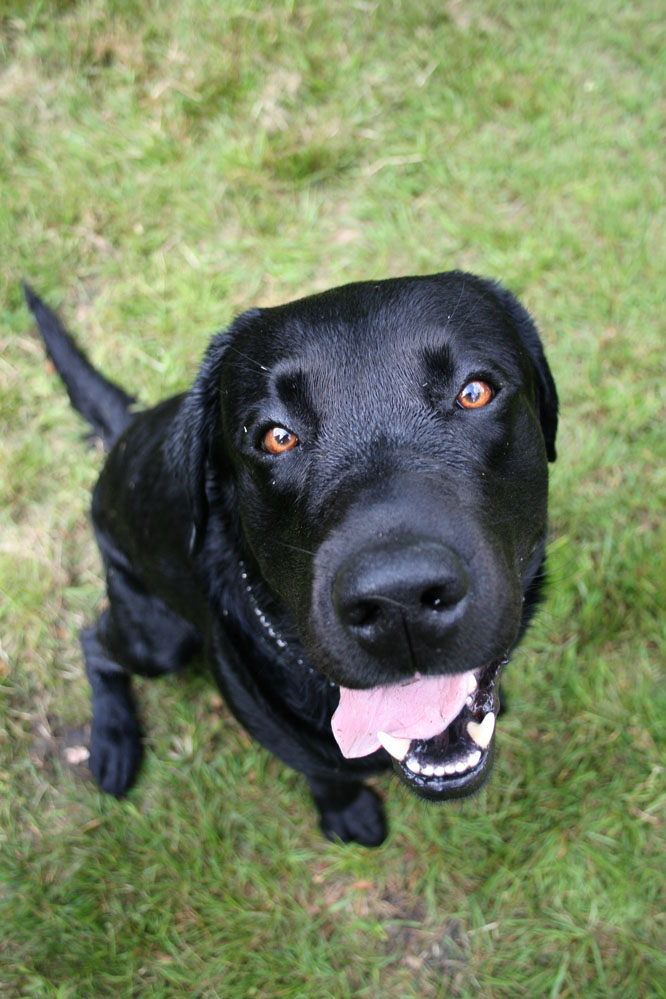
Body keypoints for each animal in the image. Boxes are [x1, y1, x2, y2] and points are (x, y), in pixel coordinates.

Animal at [26, 272, 556, 844]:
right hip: (158, 639)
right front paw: (346, 811)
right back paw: (113, 742)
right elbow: (319, 769)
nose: (399, 600)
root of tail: (130, 426)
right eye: (276, 436)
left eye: (474, 392)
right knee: (93, 641)